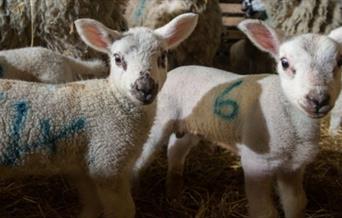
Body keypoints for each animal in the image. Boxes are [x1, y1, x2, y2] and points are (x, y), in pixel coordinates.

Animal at [134, 19, 342, 218]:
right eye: (284, 63)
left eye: (340, 62)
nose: (318, 99)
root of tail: (174, 71)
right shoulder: (256, 164)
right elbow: (264, 212)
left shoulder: (293, 168)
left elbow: (296, 203)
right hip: (159, 122)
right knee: (141, 158)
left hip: (187, 128)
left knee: (175, 153)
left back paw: (174, 196)